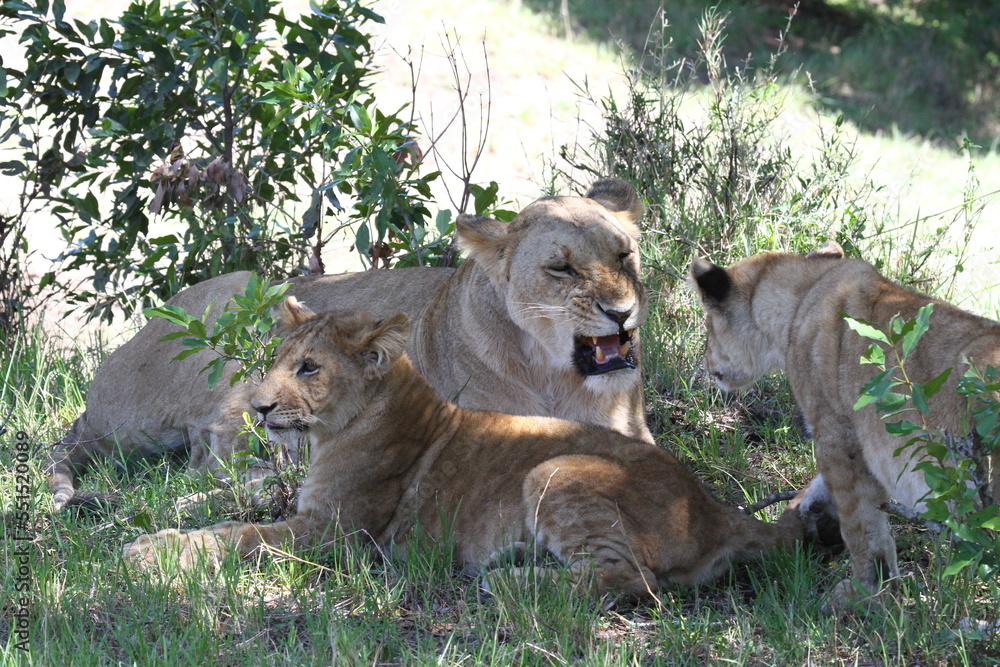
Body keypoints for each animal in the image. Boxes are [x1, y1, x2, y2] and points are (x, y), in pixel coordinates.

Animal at [49, 178, 652, 510]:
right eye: (561, 268)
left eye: (623, 255)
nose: (621, 312)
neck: (555, 375)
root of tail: (91, 404)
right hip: (241, 295)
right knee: (212, 461)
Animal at [123, 300, 808, 600]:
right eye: (278, 362)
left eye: (310, 368)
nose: (260, 408)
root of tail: (715, 507)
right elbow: (233, 513)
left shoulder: (335, 534)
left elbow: (238, 535)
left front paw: (149, 552)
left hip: (555, 470)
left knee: (628, 578)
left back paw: (510, 583)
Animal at [691, 241, 1000, 610]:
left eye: (709, 325)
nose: (706, 362)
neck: (801, 299)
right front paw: (815, 513)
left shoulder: (837, 434)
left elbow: (861, 521)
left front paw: (868, 591)